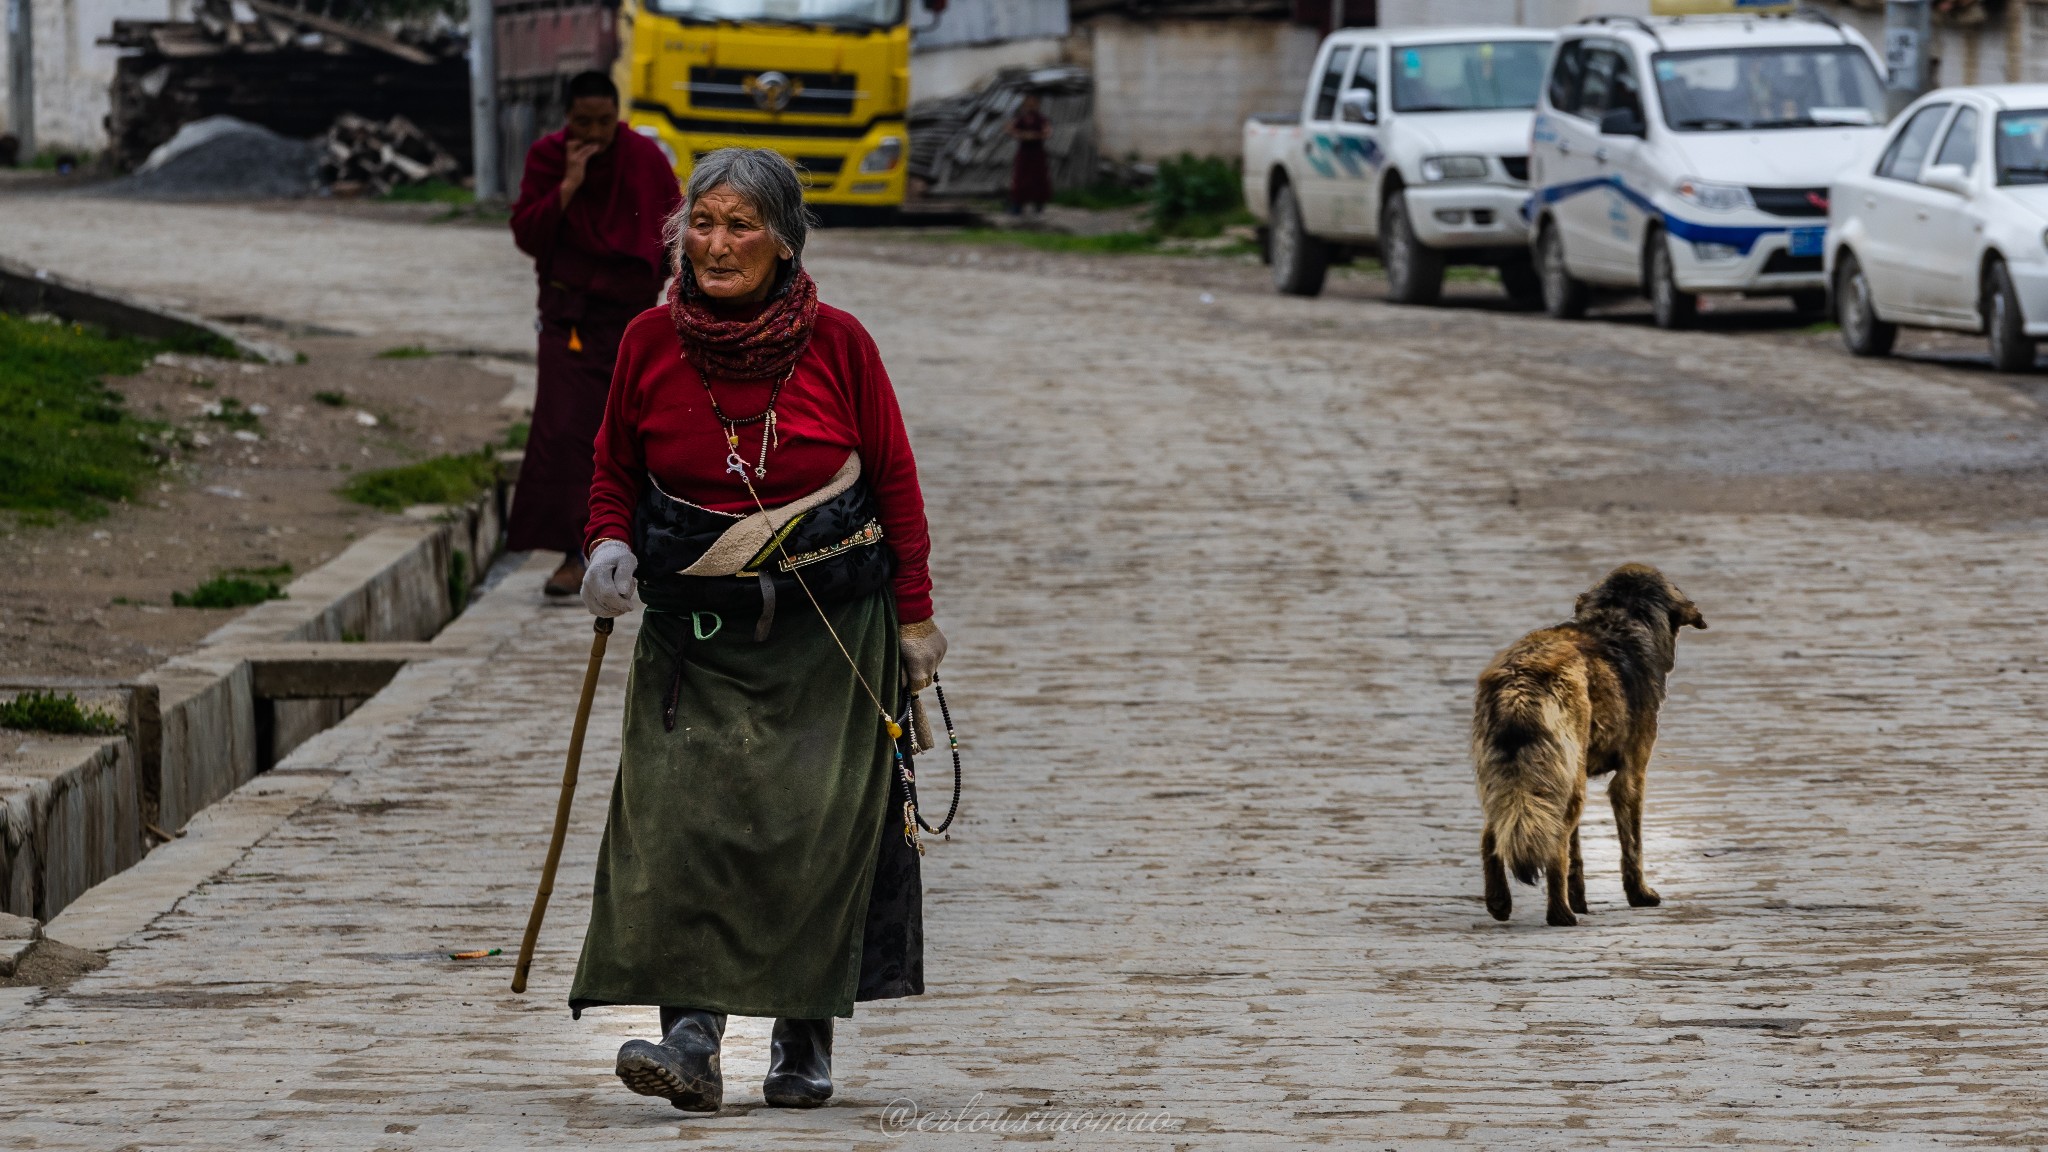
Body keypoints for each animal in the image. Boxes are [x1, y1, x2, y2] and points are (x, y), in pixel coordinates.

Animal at [1466, 561, 1703, 922]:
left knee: (1493, 834)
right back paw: (1560, 915)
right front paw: (1640, 895)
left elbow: (1574, 856)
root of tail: (1518, 685)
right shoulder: (1632, 775)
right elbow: (1632, 845)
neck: (1619, 621)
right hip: (1567, 786)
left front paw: (1580, 899)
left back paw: (1500, 903)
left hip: (1524, 782)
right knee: (1551, 848)